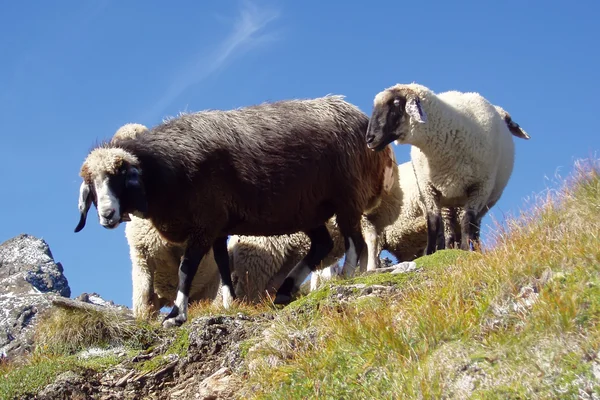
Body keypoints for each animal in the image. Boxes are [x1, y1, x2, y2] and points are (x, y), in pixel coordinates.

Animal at [366, 83, 528, 255]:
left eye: (396, 103)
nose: (369, 139)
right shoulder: (427, 188)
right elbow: (433, 221)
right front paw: (431, 252)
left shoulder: (480, 187)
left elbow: (467, 221)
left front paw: (465, 249)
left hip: (477, 199)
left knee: (473, 224)